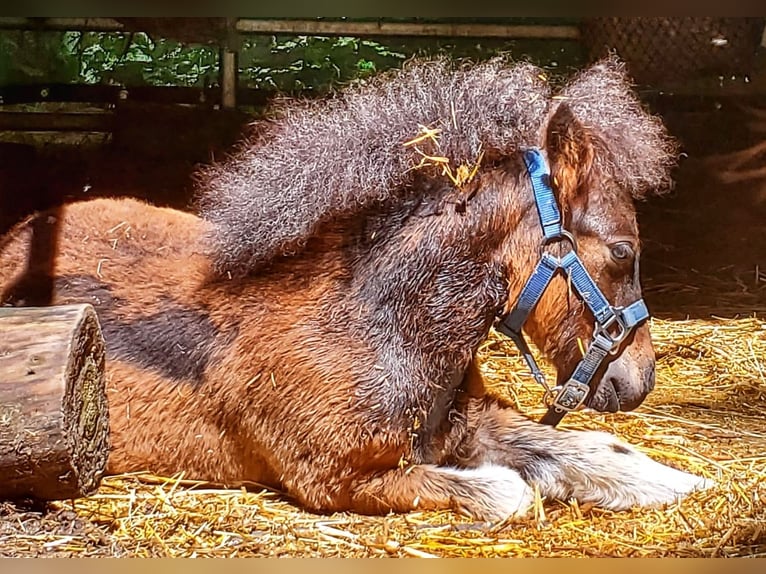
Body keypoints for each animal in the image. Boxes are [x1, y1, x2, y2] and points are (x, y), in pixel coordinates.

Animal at [0, 57, 712, 520]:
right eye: (622, 251)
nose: (638, 380)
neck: (376, 323)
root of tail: (23, 236)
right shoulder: (336, 479)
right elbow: (510, 490)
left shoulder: (475, 421)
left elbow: (601, 451)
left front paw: (682, 483)